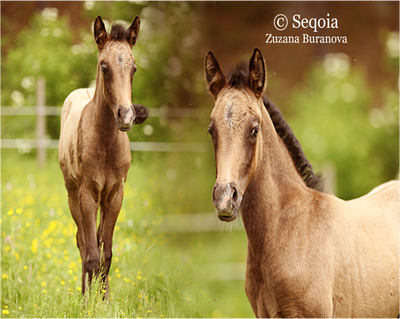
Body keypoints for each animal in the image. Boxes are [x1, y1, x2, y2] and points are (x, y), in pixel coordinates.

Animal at [58, 14, 148, 296]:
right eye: (104, 67)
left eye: (134, 69)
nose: (126, 116)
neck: (106, 143)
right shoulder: (87, 193)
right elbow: (91, 254)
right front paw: (89, 301)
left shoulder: (115, 194)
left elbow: (106, 253)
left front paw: (105, 299)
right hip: (72, 194)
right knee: (82, 241)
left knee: (96, 240)